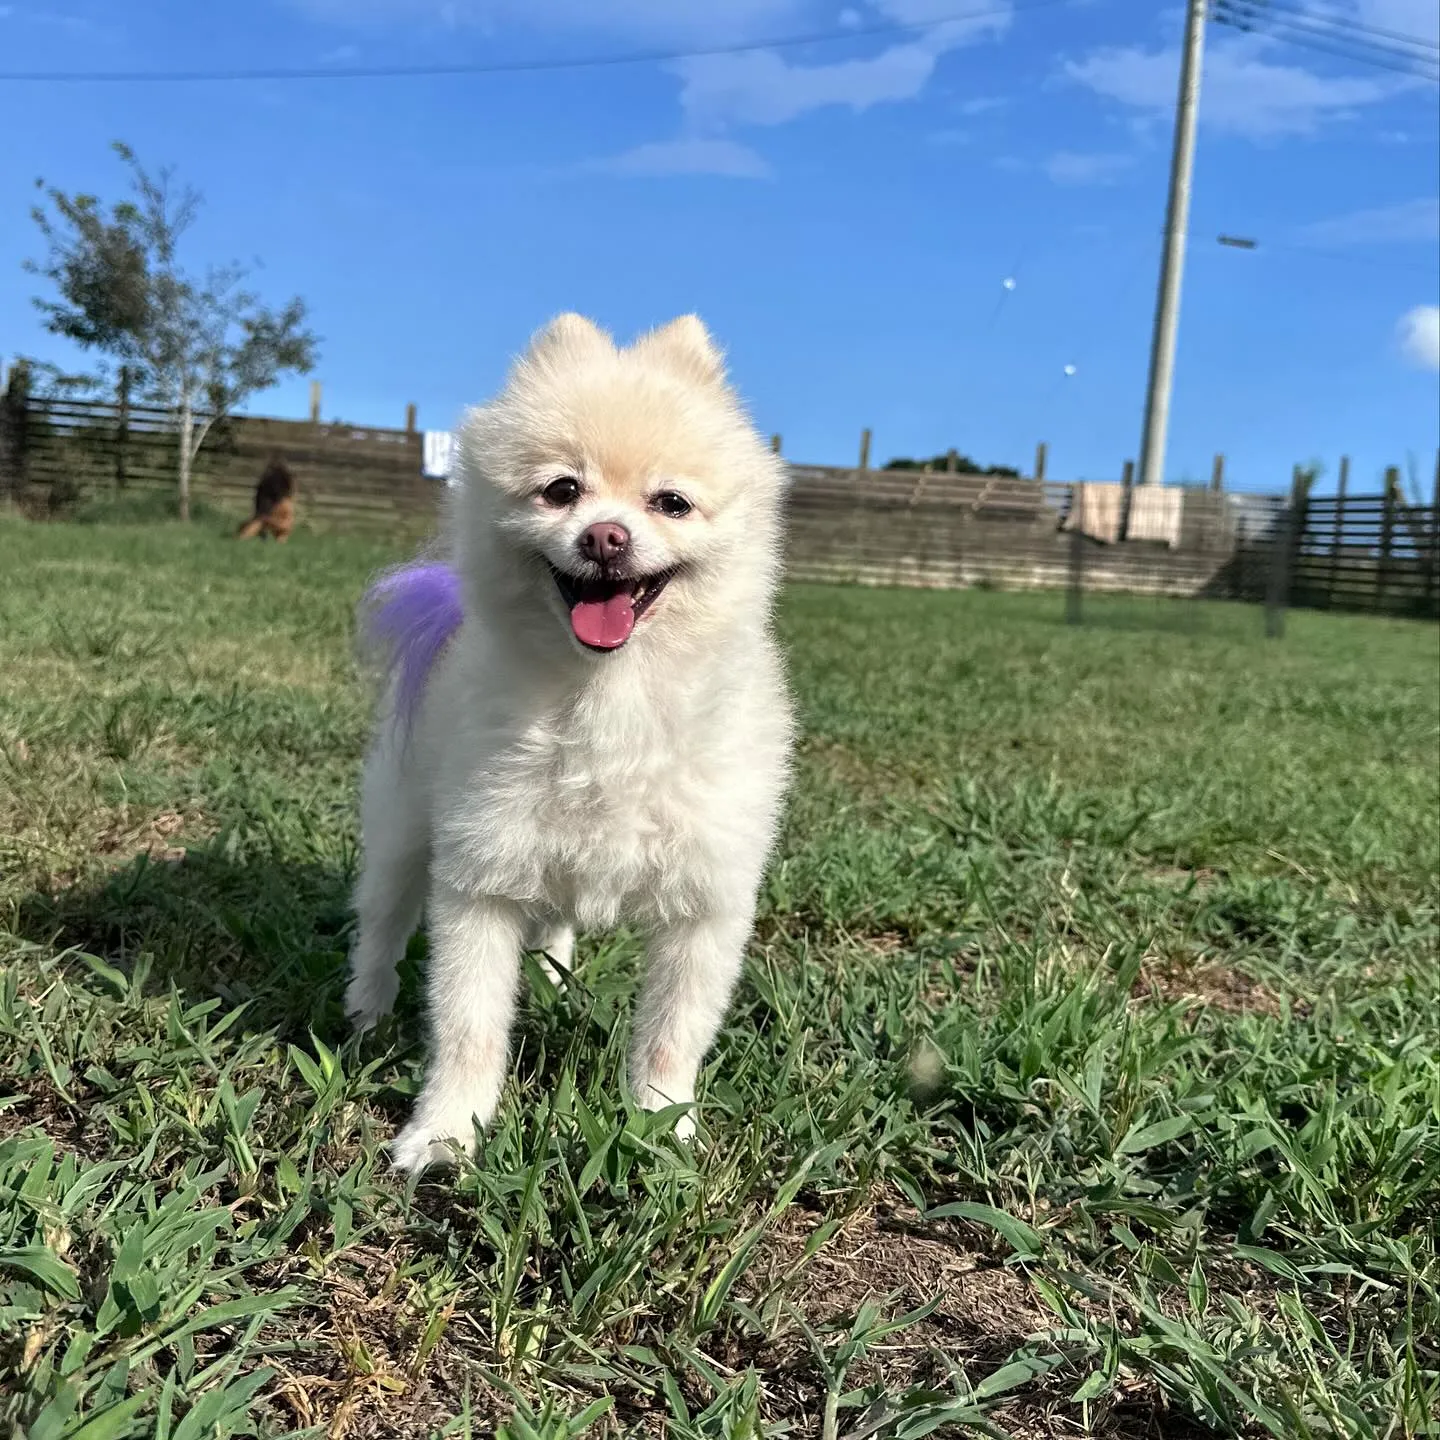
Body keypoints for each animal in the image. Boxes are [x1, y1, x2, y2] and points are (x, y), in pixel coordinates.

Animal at [342, 315, 794, 1169]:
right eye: (561, 490)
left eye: (672, 503)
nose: (608, 536)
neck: (608, 700)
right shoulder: (480, 881)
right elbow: (468, 1026)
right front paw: (445, 1133)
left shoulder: (705, 907)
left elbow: (671, 1036)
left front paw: (661, 1129)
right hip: (403, 830)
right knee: (380, 924)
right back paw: (364, 1016)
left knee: (554, 920)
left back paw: (551, 980)